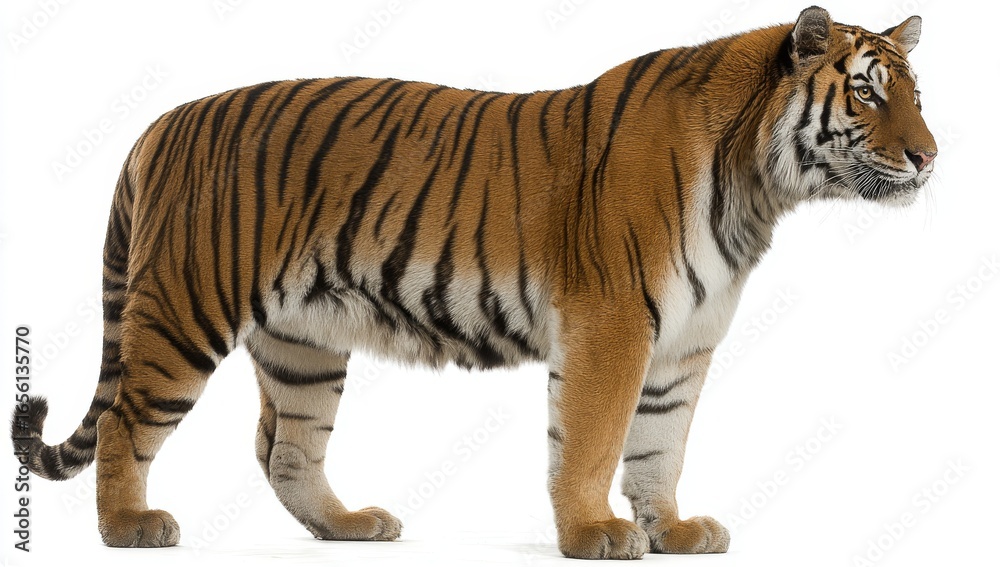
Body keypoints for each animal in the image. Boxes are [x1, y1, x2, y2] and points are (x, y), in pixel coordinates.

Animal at [10, 6, 936, 559]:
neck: (757, 185)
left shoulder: (684, 344)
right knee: (127, 422)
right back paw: (129, 526)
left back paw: (349, 526)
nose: (930, 155)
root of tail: (162, 121)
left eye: (917, 95)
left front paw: (671, 528)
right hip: (184, 311)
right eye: (866, 92)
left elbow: (660, 446)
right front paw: (594, 532)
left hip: (305, 341)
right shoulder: (612, 324)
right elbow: (593, 440)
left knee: (285, 449)